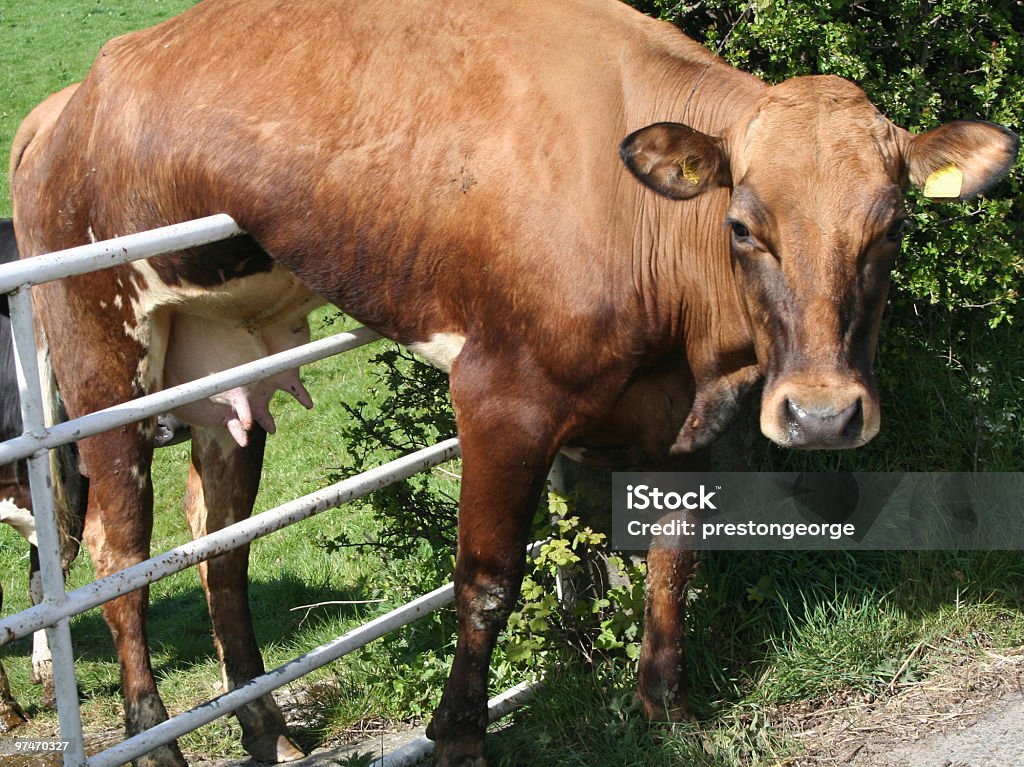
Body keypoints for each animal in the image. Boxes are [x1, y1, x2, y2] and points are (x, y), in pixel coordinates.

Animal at [8, 1, 1015, 765]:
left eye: (892, 227)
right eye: (742, 224)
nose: (822, 414)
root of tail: (65, 102)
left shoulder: (693, 416)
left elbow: (674, 554)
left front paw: (663, 706)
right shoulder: (504, 398)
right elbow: (487, 581)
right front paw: (458, 735)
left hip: (217, 366)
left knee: (219, 542)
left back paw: (265, 726)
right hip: (101, 357)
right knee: (118, 550)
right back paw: (158, 739)